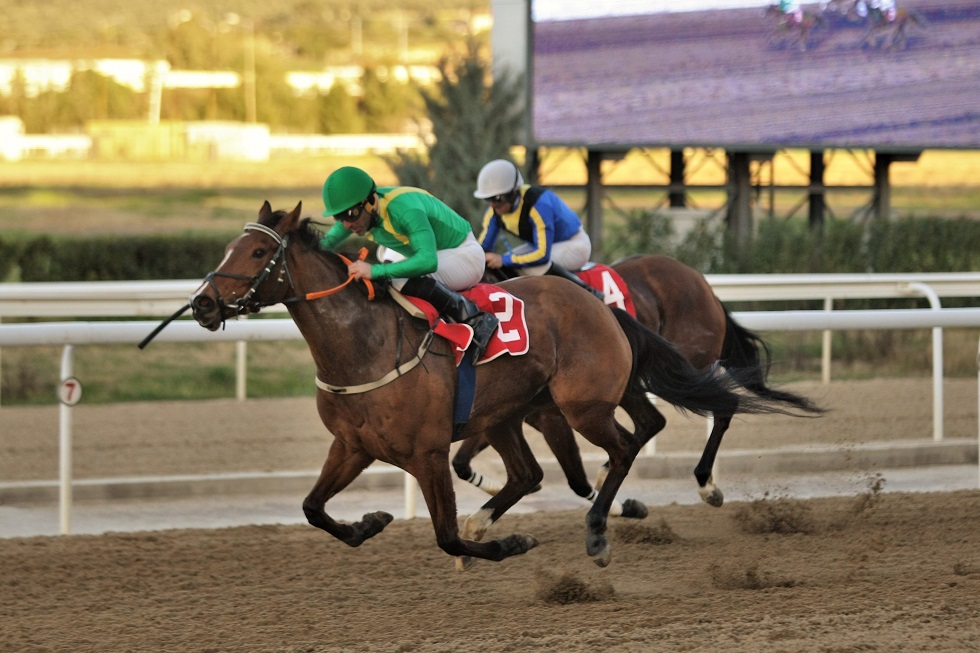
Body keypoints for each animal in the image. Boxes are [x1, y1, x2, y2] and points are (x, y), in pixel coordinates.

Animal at [189, 202, 780, 564]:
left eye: (259, 253)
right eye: (228, 248)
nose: (203, 303)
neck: (365, 346)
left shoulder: (427, 451)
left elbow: (448, 537)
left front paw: (510, 543)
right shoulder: (354, 445)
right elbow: (313, 508)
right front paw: (370, 522)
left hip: (584, 403)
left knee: (636, 441)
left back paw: (612, 524)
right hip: (516, 412)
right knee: (549, 466)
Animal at [456, 255, 824, 510]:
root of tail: (703, 284)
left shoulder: (547, 415)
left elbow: (575, 479)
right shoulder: (499, 411)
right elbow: (461, 462)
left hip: (682, 366)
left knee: (718, 405)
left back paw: (706, 484)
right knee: (653, 420)